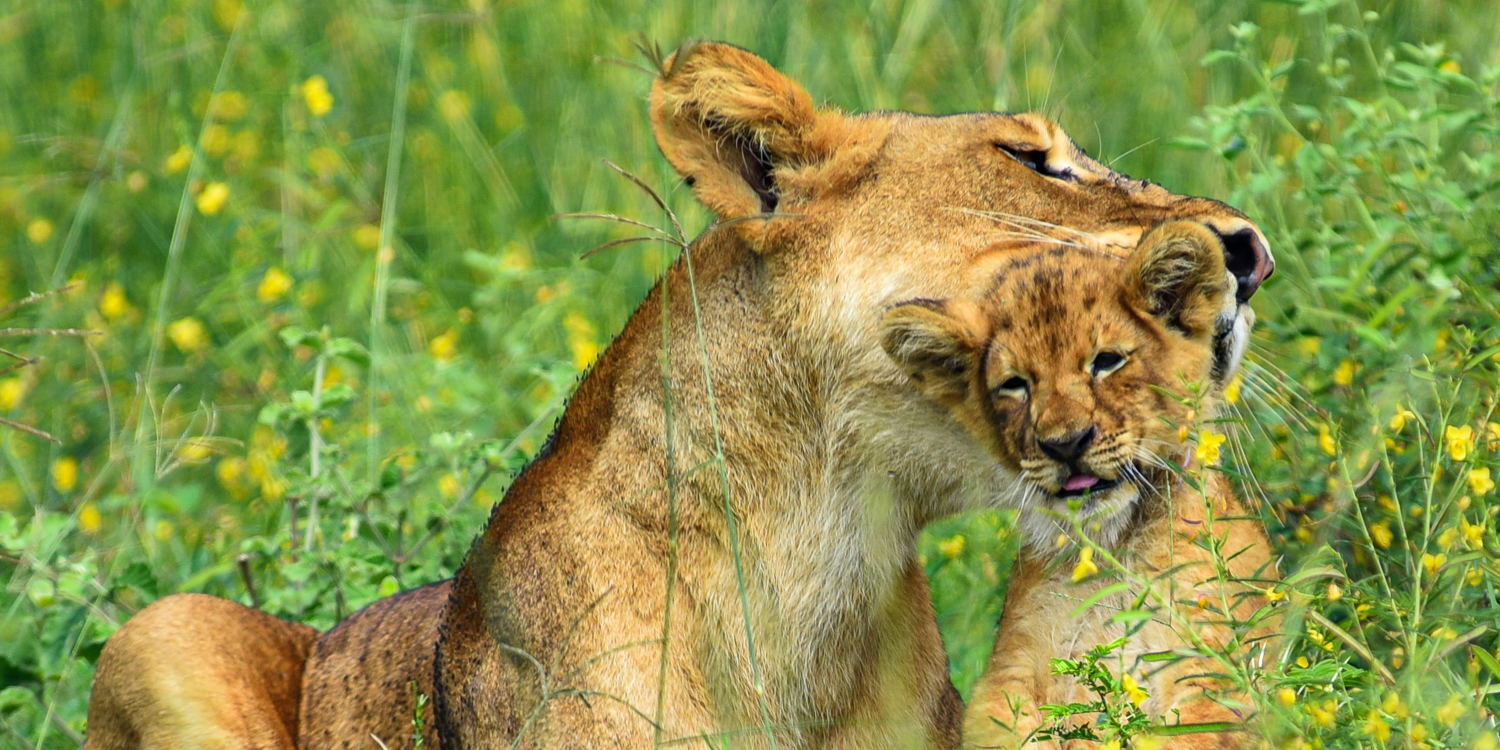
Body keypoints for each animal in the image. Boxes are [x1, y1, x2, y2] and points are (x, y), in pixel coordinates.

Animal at [879, 222, 1279, 750]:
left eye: (1106, 361)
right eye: (1015, 384)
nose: (1065, 444)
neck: (1113, 549)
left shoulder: (1219, 673)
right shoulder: (1008, 672)